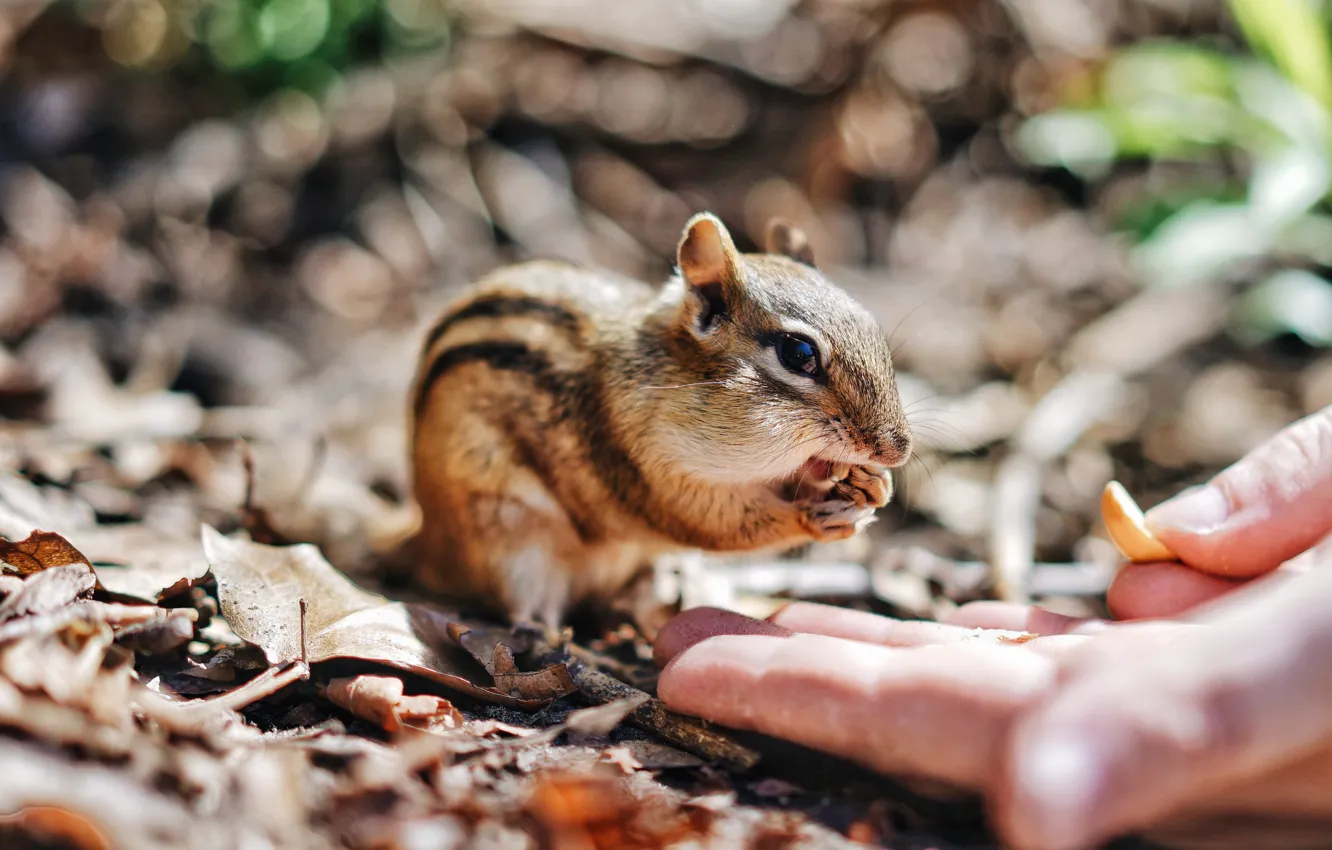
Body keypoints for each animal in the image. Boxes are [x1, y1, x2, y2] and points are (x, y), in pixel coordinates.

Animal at [410, 213, 912, 628]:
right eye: (799, 353)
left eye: (872, 327)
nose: (897, 450)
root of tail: (429, 545)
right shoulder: (646, 467)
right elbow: (712, 523)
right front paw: (813, 519)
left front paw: (875, 485)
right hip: (515, 548)